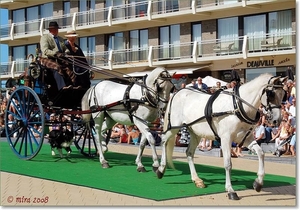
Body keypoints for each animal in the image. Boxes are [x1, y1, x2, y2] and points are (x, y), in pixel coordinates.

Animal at [157, 74, 286, 200]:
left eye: (283, 94)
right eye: (271, 94)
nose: (277, 120)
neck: (237, 105)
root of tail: (178, 92)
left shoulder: (246, 138)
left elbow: (261, 153)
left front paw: (258, 183)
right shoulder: (226, 139)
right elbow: (228, 164)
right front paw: (230, 190)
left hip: (196, 133)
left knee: (189, 152)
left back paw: (197, 179)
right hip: (173, 128)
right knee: (164, 141)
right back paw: (160, 169)